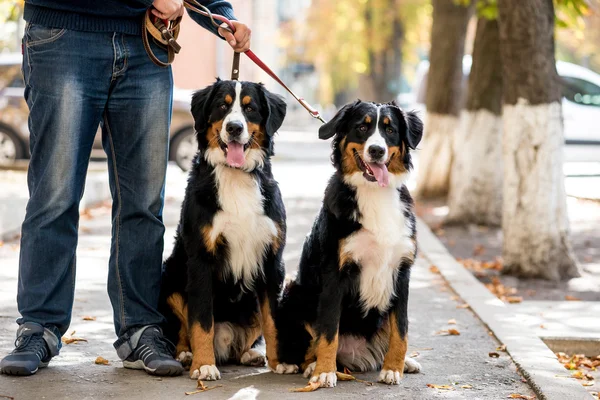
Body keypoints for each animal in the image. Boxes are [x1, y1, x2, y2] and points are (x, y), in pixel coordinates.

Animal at [161, 79, 288, 382]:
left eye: (250, 108)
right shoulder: (200, 260)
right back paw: (186, 355)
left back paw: (250, 354)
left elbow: (272, 319)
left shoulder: (272, 260)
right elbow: (201, 321)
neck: (236, 175)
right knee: (184, 328)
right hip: (170, 280)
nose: (234, 128)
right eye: (222, 105)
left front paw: (280, 362)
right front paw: (204, 365)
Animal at [274, 100, 424, 388]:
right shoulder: (335, 272)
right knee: (309, 346)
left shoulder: (401, 271)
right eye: (362, 128)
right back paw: (309, 366)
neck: (374, 194)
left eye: (390, 130)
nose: (376, 150)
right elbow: (329, 330)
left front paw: (393, 368)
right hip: (292, 291)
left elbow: (401, 328)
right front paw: (324, 372)